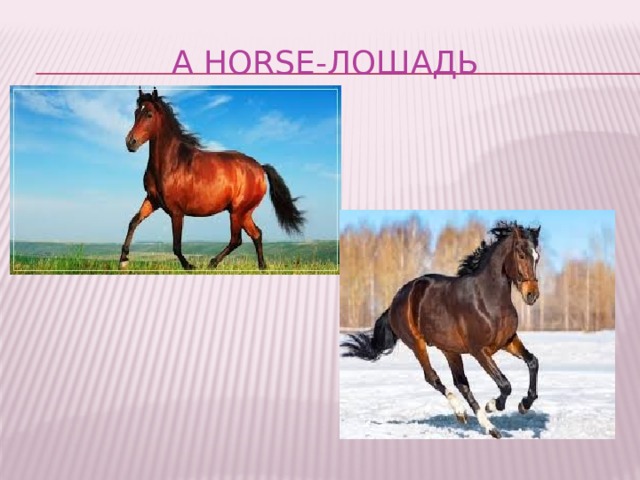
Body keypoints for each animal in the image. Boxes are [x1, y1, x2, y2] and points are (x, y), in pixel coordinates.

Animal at [119, 87, 305, 271]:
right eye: (136, 113)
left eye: (149, 114)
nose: (130, 142)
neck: (171, 163)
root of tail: (260, 167)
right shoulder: (152, 200)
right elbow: (133, 222)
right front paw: (123, 260)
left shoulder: (176, 211)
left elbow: (176, 245)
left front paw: (189, 266)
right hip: (244, 212)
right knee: (256, 234)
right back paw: (261, 266)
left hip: (238, 211)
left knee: (237, 239)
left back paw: (213, 263)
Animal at [341, 221, 541, 439]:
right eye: (521, 255)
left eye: (537, 256)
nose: (532, 295)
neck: (489, 299)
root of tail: (397, 300)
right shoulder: (479, 350)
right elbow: (505, 384)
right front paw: (492, 405)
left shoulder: (508, 340)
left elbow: (533, 362)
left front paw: (524, 404)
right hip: (417, 344)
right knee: (433, 377)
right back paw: (464, 413)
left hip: (450, 350)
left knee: (461, 384)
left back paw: (488, 427)